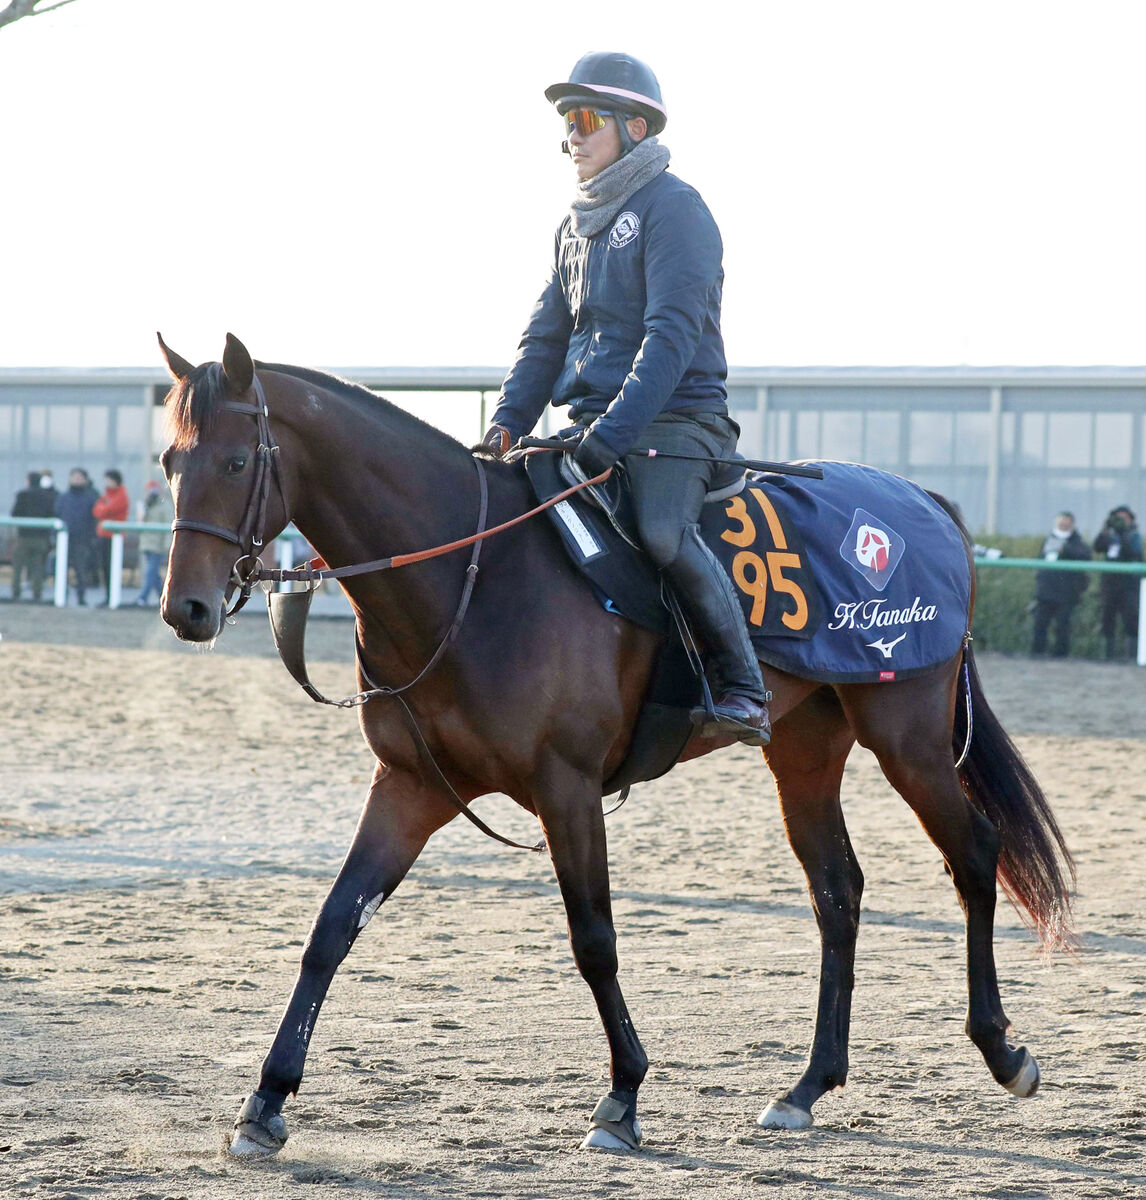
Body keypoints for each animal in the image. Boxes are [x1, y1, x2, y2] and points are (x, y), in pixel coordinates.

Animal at [159, 333, 1075, 1156]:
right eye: (170, 462)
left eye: (237, 463)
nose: (185, 609)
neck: (476, 575)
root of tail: (929, 503)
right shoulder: (409, 786)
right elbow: (331, 928)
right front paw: (266, 1101)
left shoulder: (565, 787)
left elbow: (594, 940)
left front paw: (624, 1096)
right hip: (805, 749)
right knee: (837, 891)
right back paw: (807, 1087)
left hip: (907, 733)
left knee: (974, 853)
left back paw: (1003, 1050)